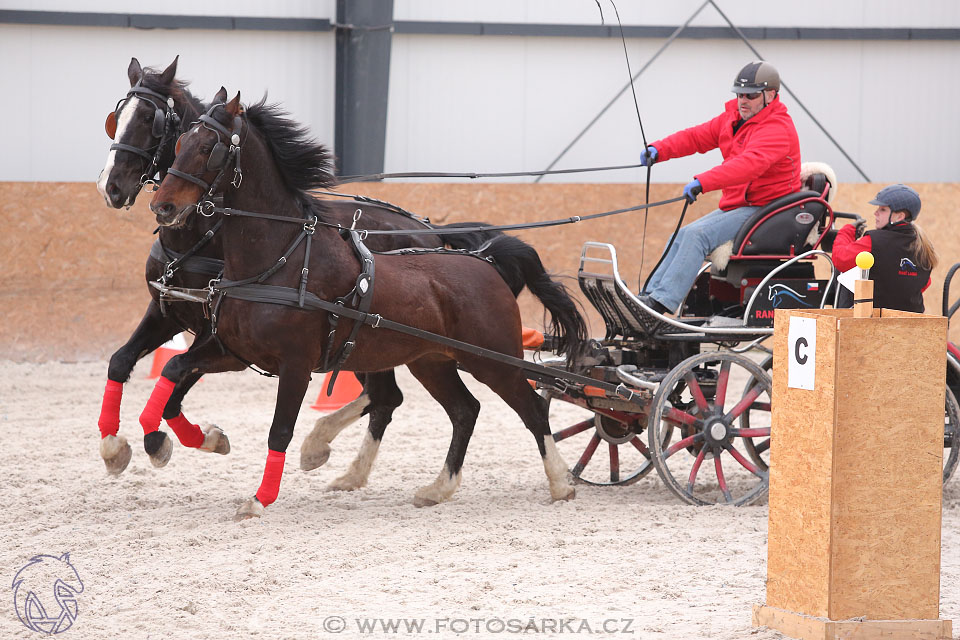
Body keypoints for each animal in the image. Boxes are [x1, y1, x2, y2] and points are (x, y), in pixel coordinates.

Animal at [95, 60, 548, 488]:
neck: (202, 236)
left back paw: (322, 446)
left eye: (151, 120)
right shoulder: (169, 311)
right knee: (388, 396)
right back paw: (340, 461)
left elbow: (176, 381)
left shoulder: (216, 333)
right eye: (117, 118)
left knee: (389, 396)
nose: (112, 187)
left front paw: (173, 439)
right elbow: (123, 362)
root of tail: (429, 230)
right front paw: (117, 446)